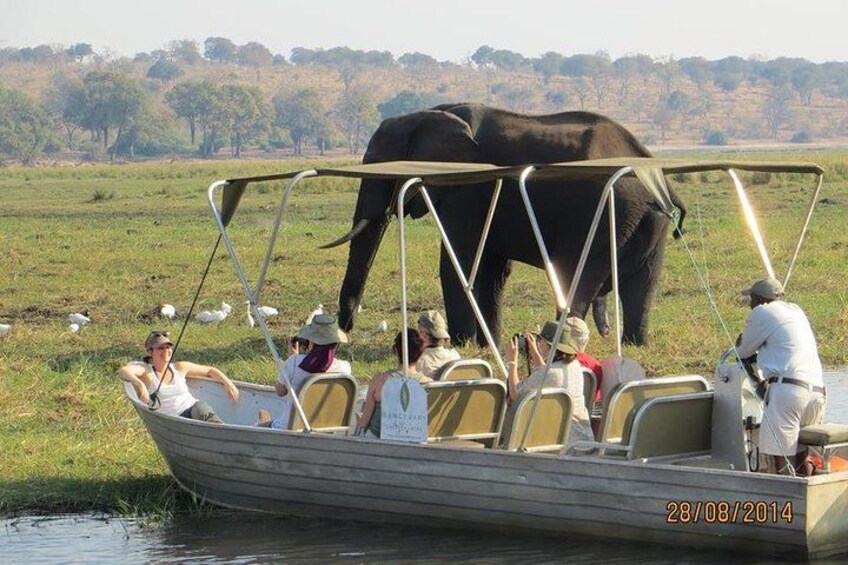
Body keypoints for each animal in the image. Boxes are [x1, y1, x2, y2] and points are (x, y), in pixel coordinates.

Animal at [324, 103, 686, 346]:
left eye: (376, 165)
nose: (346, 329)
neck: (427, 114)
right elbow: (493, 270)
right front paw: (488, 345)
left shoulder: (466, 188)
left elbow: (460, 260)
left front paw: (461, 345)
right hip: (647, 219)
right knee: (645, 283)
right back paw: (635, 345)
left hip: (606, 210)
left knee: (576, 275)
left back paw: (557, 344)